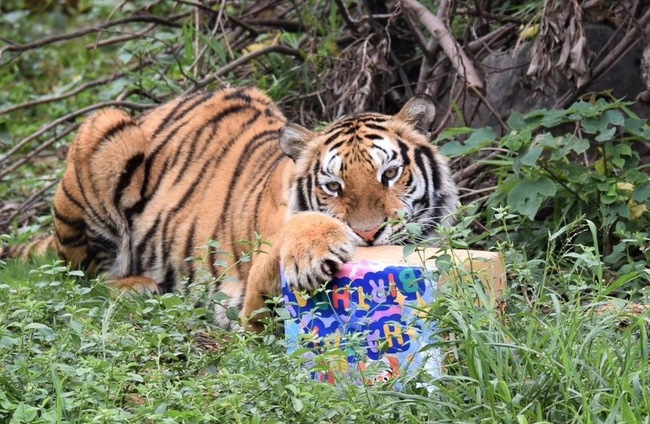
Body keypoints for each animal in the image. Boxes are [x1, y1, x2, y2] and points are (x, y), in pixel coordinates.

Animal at [1, 87, 456, 332]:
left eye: (389, 174)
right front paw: (315, 247)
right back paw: (138, 287)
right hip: (106, 128)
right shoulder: (252, 304)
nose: (367, 234)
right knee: (82, 279)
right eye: (333, 186)